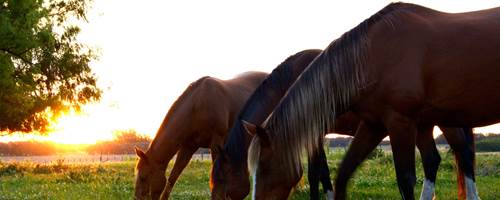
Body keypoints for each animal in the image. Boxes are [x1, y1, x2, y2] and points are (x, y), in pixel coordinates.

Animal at [132, 71, 266, 199]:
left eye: (143, 177)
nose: (137, 198)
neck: (197, 106)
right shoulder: (188, 147)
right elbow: (173, 177)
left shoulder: (217, 142)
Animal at [210, 49, 472, 199]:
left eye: (222, 178)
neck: (293, 81)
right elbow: (321, 172)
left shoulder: (313, 133)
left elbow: (316, 173)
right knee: (432, 159)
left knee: (463, 152)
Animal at [246, 2, 496, 199]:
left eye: (265, 168)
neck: (372, 58)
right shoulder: (373, 124)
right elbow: (341, 174)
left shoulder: (399, 122)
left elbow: (404, 179)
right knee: (437, 160)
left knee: (463, 156)